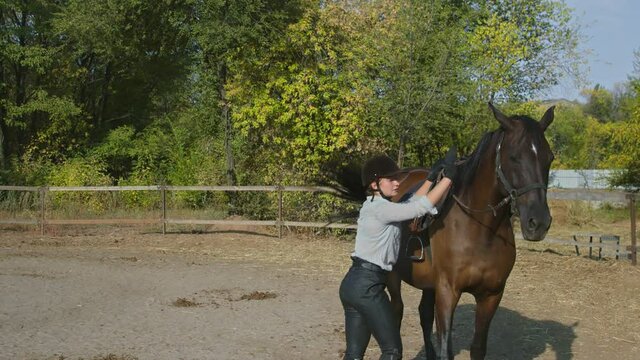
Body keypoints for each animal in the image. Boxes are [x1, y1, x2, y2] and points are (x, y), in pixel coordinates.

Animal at [324, 102, 556, 358]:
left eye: (549, 157)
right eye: (514, 157)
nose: (539, 222)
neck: (481, 230)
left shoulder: (491, 295)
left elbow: (478, 347)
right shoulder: (447, 291)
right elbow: (446, 346)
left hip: (429, 284)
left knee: (424, 314)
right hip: (394, 277)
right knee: (397, 312)